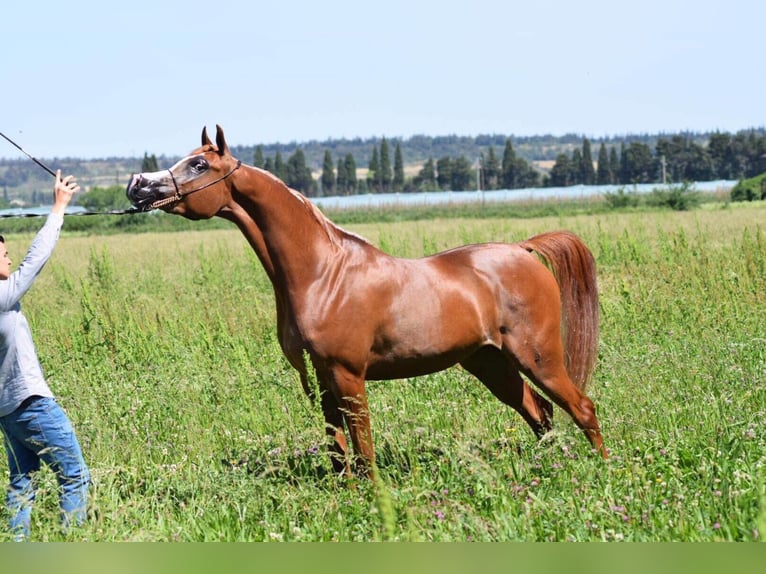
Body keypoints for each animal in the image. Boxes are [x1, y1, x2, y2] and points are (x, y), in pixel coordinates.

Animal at [126, 125, 606, 477]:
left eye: (199, 163)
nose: (137, 186)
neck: (324, 274)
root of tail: (523, 249)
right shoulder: (324, 377)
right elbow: (338, 448)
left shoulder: (349, 375)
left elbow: (362, 446)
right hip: (489, 362)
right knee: (539, 413)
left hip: (538, 357)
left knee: (581, 408)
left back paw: (603, 471)